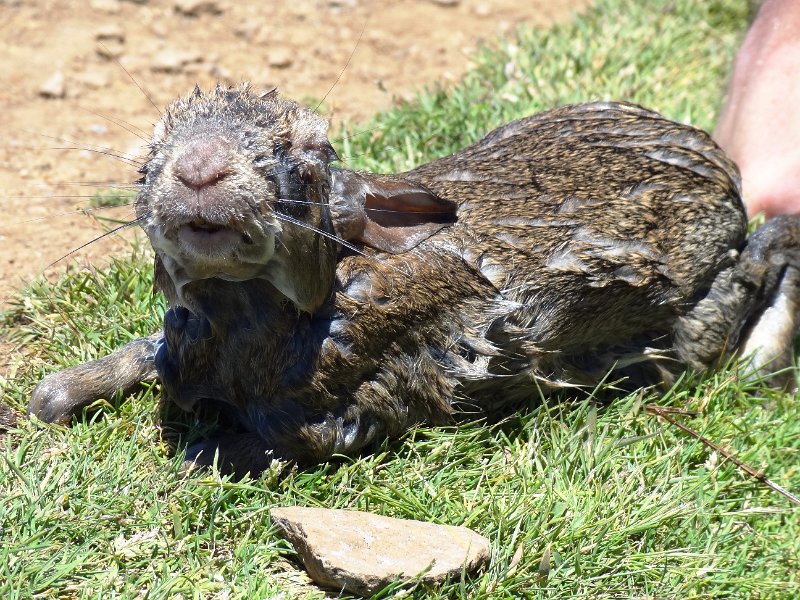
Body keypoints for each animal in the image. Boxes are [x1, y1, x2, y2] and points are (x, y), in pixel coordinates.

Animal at [28, 83, 800, 475]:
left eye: (307, 159)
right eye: (150, 153)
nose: (199, 170)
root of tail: (719, 174)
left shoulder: (359, 397)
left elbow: (278, 441)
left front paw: (197, 452)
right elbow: (149, 354)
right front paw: (55, 396)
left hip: (686, 322)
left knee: (763, 257)